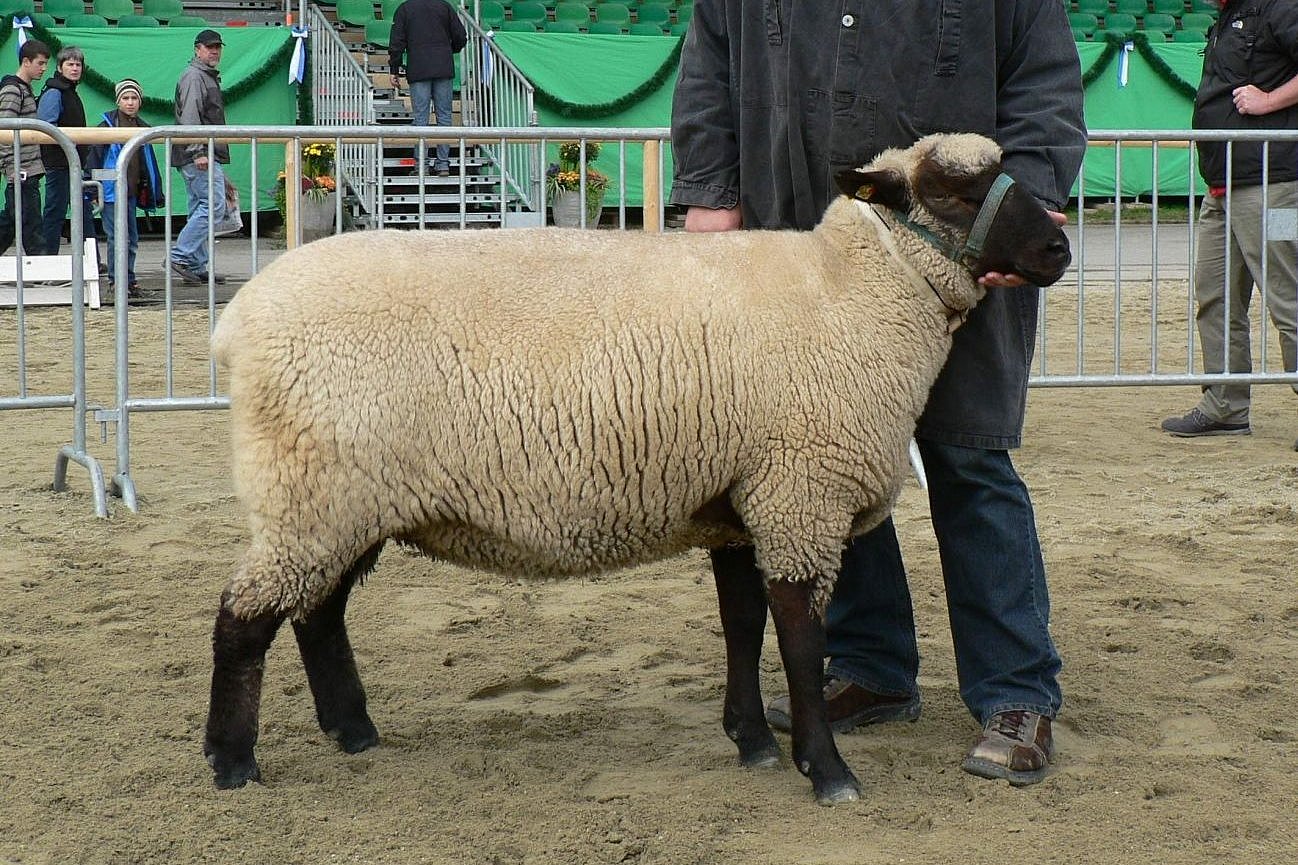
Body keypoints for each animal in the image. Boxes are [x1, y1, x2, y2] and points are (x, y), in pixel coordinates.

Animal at [205, 133, 1074, 800]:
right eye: (955, 190)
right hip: (311, 489)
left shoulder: (740, 496)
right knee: (244, 619)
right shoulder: (797, 493)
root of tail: (235, 321)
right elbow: (799, 636)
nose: (1059, 244)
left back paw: (353, 729)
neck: (852, 292)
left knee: (318, 613)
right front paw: (826, 770)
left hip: (343, 495)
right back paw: (232, 760)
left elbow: (741, 622)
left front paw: (752, 739)